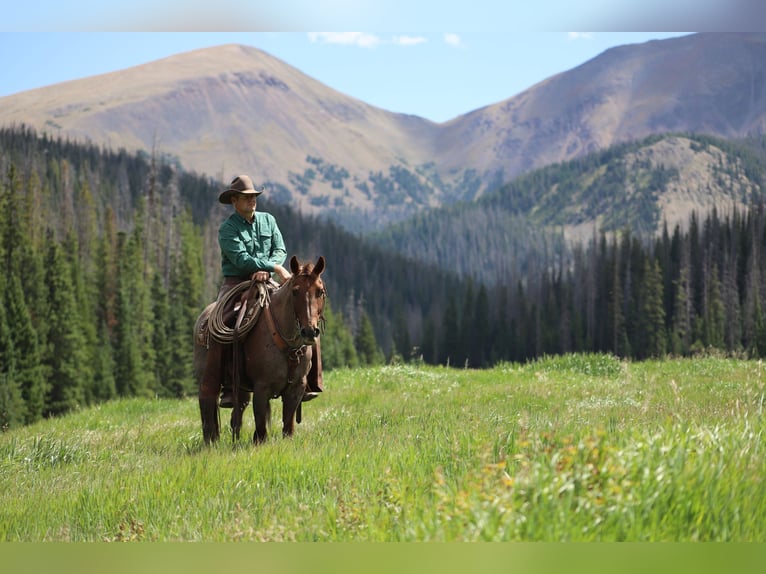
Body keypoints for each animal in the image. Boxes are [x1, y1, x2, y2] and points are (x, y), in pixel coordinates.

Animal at [195, 255, 328, 446]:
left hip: (240, 387)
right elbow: (261, 429)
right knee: (207, 402)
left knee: (237, 413)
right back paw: (210, 443)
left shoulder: (296, 388)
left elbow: (288, 426)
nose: (309, 331)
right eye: (295, 291)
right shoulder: (261, 387)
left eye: (320, 291)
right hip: (208, 375)